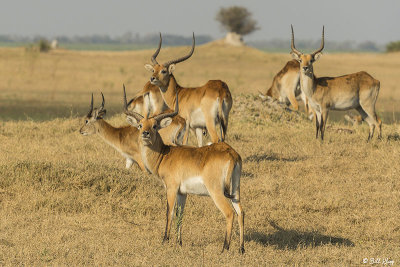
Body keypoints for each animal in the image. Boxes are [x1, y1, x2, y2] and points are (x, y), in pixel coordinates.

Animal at [123, 88, 245, 255]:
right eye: (140, 125)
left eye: (154, 125)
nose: (145, 134)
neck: (165, 155)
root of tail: (231, 154)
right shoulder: (182, 192)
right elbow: (180, 214)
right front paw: (179, 242)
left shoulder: (171, 188)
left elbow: (169, 212)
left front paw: (165, 240)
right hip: (235, 190)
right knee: (241, 212)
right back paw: (241, 249)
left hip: (217, 192)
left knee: (229, 213)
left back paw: (224, 248)